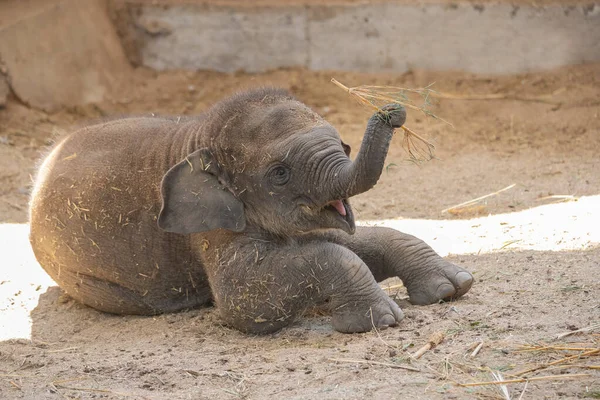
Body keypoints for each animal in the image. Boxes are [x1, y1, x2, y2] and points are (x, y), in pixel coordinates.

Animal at [29, 88, 474, 334]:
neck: (200, 134)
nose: (392, 111)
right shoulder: (208, 230)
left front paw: (452, 288)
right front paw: (381, 320)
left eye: (343, 146)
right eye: (279, 174)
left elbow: (350, 240)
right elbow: (242, 299)